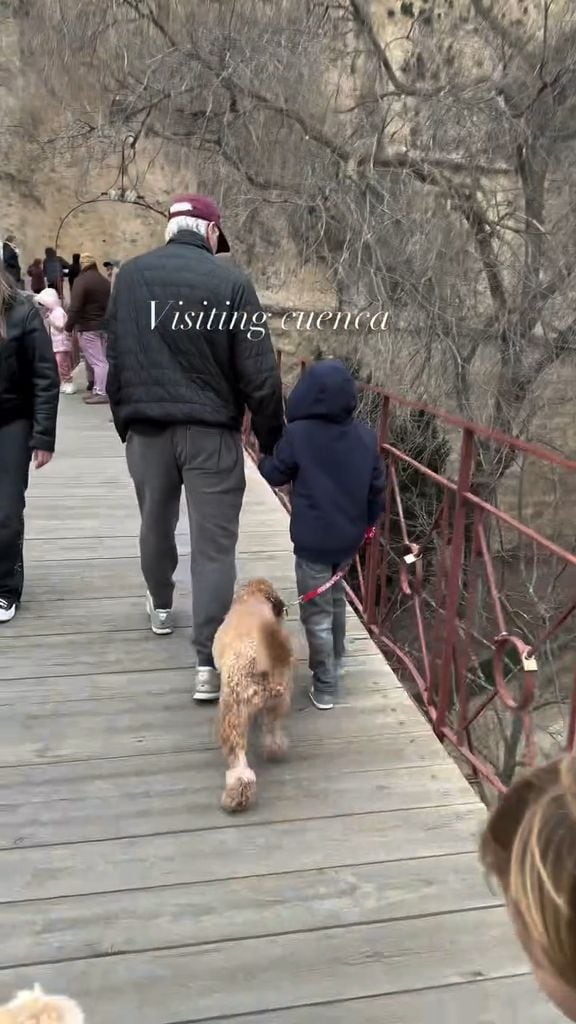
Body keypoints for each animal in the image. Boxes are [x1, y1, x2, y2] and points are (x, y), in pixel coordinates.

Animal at [213, 581, 291, 811]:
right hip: (278, 702)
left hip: (233, 713)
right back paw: (275, 750)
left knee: (240, 768)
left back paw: (235, 797)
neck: (253, 597)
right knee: (273, 733)